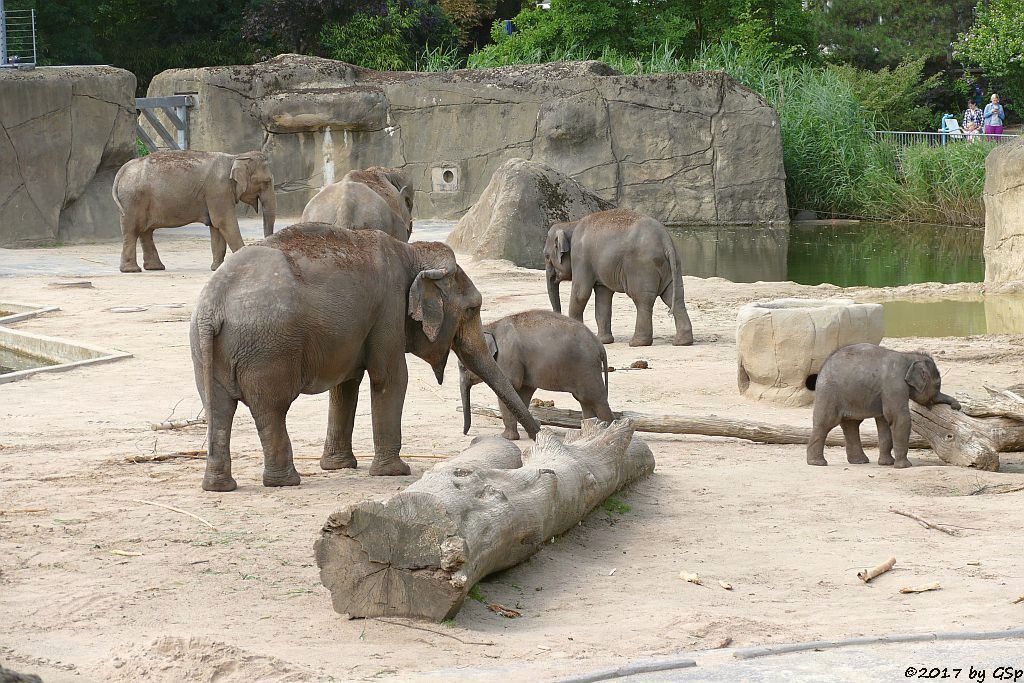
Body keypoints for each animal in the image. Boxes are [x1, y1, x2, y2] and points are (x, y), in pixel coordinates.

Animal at [112, 151, 276, 272]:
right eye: (266, 181)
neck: (235, 157)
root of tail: (122, 170)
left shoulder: (216, 194)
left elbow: (216, 226)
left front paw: (216, 268)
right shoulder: (218, 190)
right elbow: (224, 221)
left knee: (146, 232)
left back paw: (155, 268)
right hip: (132, 200)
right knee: (132, 231)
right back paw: (132, 270)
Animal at [192, 223, 544, 491]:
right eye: (473, 309)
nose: (539, 435)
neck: (411, 253)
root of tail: (213, 305)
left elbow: (346, 386)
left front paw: (338, 466)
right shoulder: (388, 309)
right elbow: (391, 378)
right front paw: (395, 472)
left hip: (206, 349)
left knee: (219, 409)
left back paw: (219, 486)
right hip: (268, 349)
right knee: (271, 410)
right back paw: (285, 482)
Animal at [460, 309, 610, 440]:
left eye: (462, 367)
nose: (465, 433)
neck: (490, 327)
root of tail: (600, 346)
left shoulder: (507, 359)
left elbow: (509, 390)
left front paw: (506, 438)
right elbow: (523, 394)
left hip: (587, 368)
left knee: (597, 400)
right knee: (585, 401)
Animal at [544, 208, 696, 348]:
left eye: (546, 256)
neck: (571, 224)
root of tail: (665, 239)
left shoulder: (580, 257)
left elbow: (580, 293)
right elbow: (603, 297)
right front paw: (604, 341)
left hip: (642, 267)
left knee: (643, 300)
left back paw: (637, 343)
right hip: (672, 266)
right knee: (674, 297)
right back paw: (682, 342)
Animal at [806, 344, 958, 466]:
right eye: (937, 385)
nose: (956, 406)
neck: (908, 356)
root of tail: (821, 369)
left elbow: (884, 421)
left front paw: (887, 463)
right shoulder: (894, 385)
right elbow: (899, 418)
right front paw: (904, 466)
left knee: (851, 425)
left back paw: (859, 461)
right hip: (829, 393)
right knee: (826, 423)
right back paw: (818, 463)